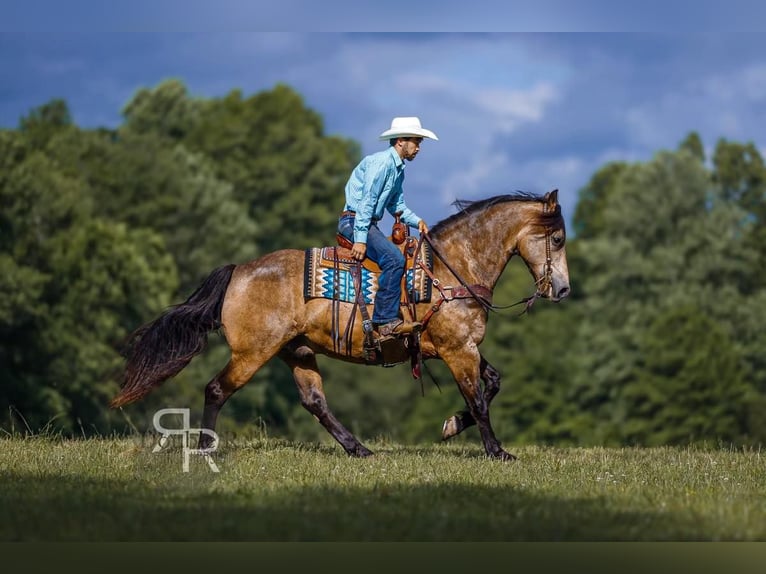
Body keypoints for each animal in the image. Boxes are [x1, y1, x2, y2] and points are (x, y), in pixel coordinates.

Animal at [109, 191, 568, 462]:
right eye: (558, 239)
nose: (562, 289)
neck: (450, 270)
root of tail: (239, 270)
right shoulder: (458, 351)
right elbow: (478, 399)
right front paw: (497, 451)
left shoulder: (460, 348)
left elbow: (492, 384)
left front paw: (451, 426)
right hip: (252, 352)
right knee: (217, 390)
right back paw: (206, 450)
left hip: (296, 351)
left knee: (314, 402)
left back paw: (358, 448)